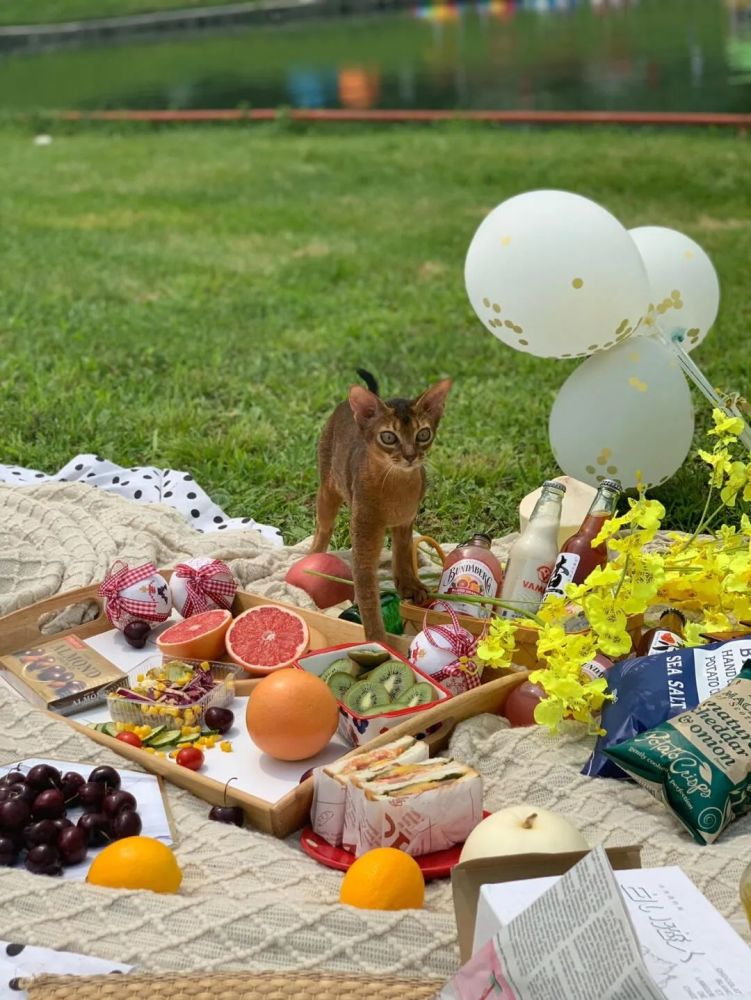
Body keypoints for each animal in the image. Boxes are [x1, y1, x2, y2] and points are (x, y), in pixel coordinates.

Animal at [310, 368, 452, 640]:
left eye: (423, 434)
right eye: (388, 437)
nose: (410, 456)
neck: (396, 487)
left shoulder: (406, 522)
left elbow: (402, 553)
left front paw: (409, 585)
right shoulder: (364, 535)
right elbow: (367, 594)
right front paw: (377, 637)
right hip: (327, 491)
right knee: (323, 529)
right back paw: (310, 557)